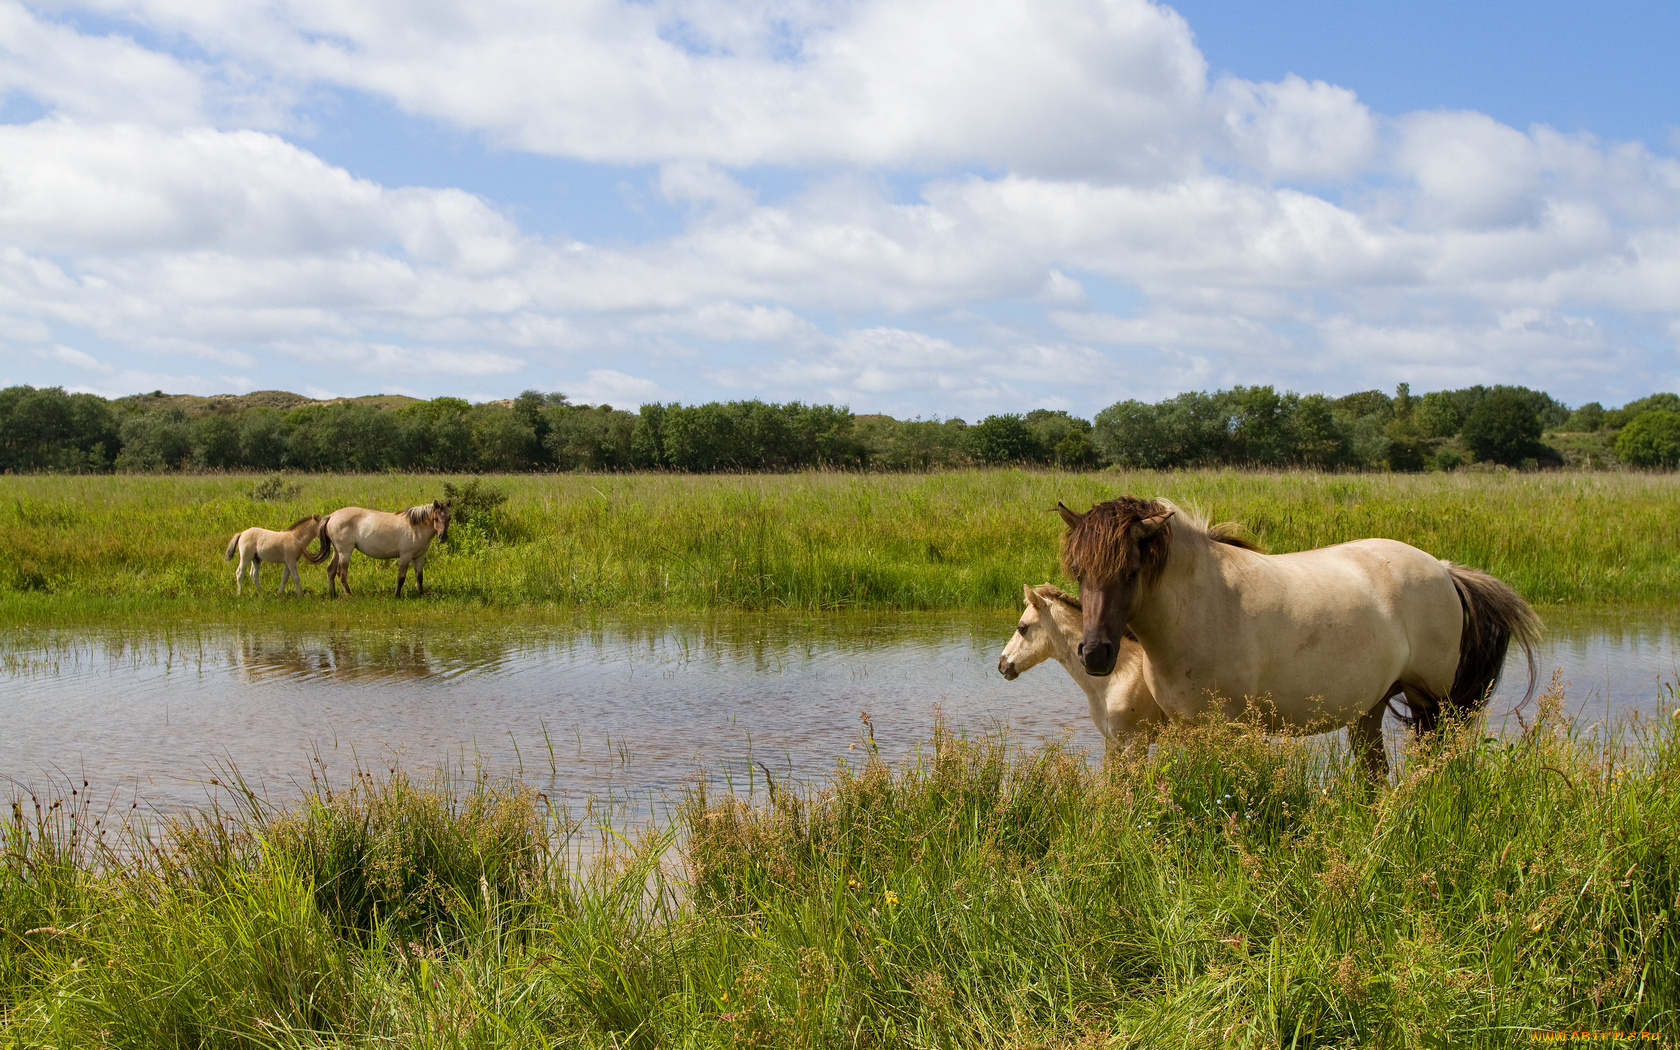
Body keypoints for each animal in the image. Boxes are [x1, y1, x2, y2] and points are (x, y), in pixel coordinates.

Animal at [319, 500, 453, 598]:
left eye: (449, 518)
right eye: (436, 519)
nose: (443, 537)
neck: (415, 527)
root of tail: (331, 516)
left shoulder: (419, 556)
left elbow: (419, 576)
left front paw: (420, 594)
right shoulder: (405, 555)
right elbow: (401, 577)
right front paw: (397, 595)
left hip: (337, 551)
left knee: (330, 570)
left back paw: (333, 594)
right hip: (345, 551)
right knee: (341, 572)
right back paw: (348, 594)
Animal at [1055, 497, 1538, 779]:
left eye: (1131, 572)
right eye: (1079, 572)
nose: (1095, 654)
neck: (1200, 606)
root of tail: (1443, 569)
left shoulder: (1225, 730)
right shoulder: (1189, 728)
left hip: (1432, 706)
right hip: (1370, 708)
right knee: (1373, 775)